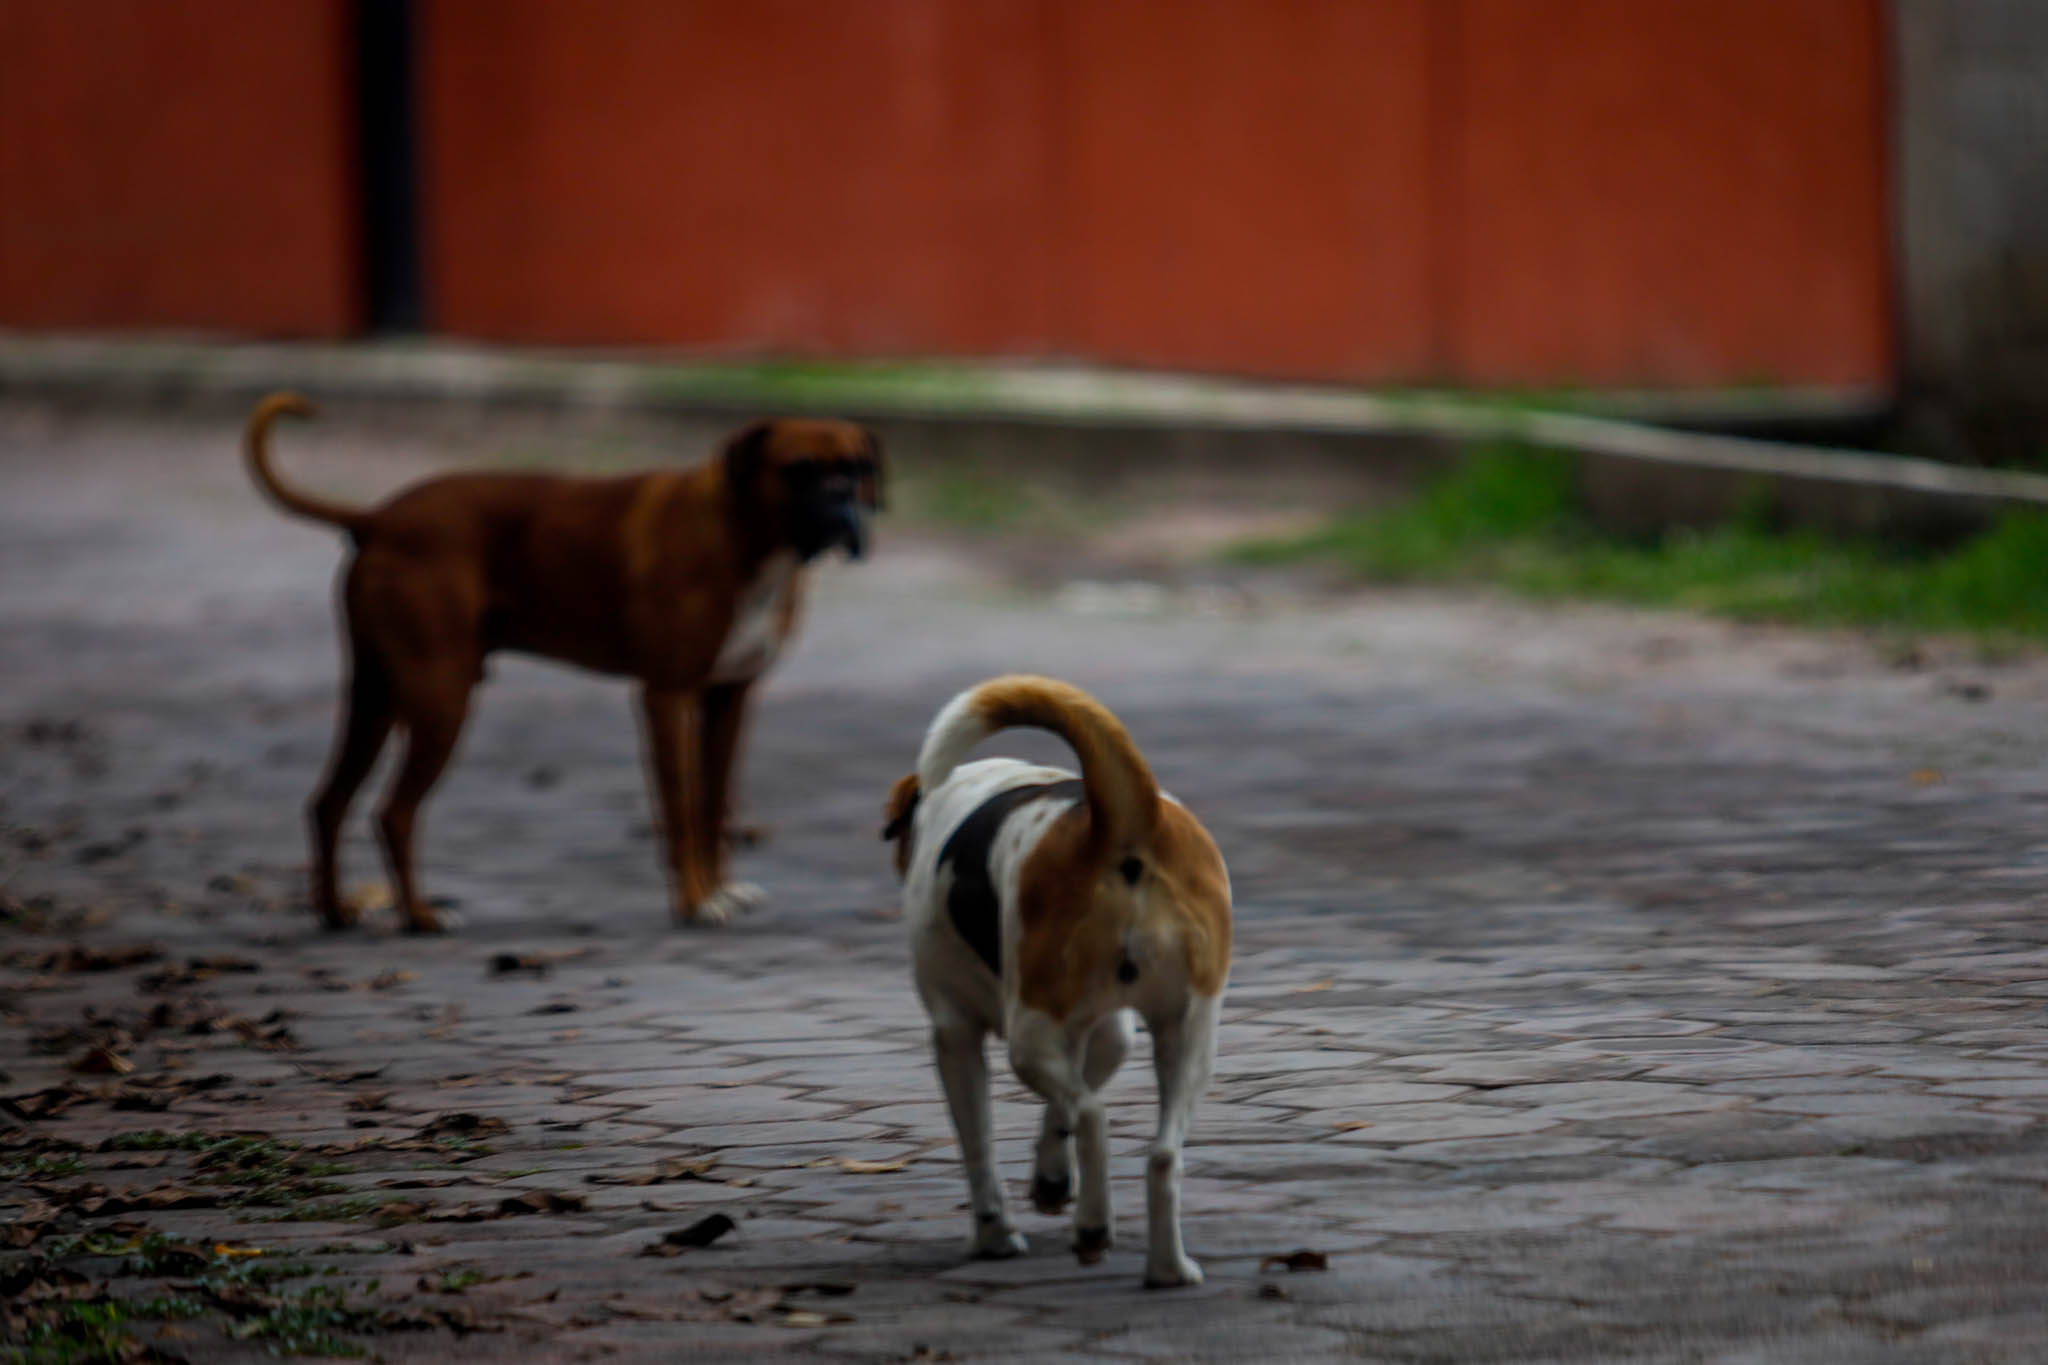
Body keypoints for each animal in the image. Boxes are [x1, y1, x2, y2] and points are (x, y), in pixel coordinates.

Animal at [241, 388, 880, 933]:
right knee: (394, 812)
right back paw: (420, 916)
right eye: (799, 470)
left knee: (329, 802)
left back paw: (335, 911)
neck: (746, 538)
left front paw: (721, 889)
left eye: (856, 470)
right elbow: (680, 807)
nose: (845, 507)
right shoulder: (666, 697)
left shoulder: (730, 699)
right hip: (439, 698)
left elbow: (713, 804)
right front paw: (696, 903)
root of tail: (379, 518)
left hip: (377, 698)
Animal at [884, 679, 1228, 1285]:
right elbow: (1062, 1108)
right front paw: (1049, 1179)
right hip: (1189, 1034)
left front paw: (995, 1235)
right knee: (1160, 1155)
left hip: (1029, 1037)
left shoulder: (955, 1033)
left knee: (1093, 1116)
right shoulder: (1110, 1031)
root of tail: (1123, 819)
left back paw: (1092, 1227)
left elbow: (981, 1146)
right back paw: (1167, 1267)